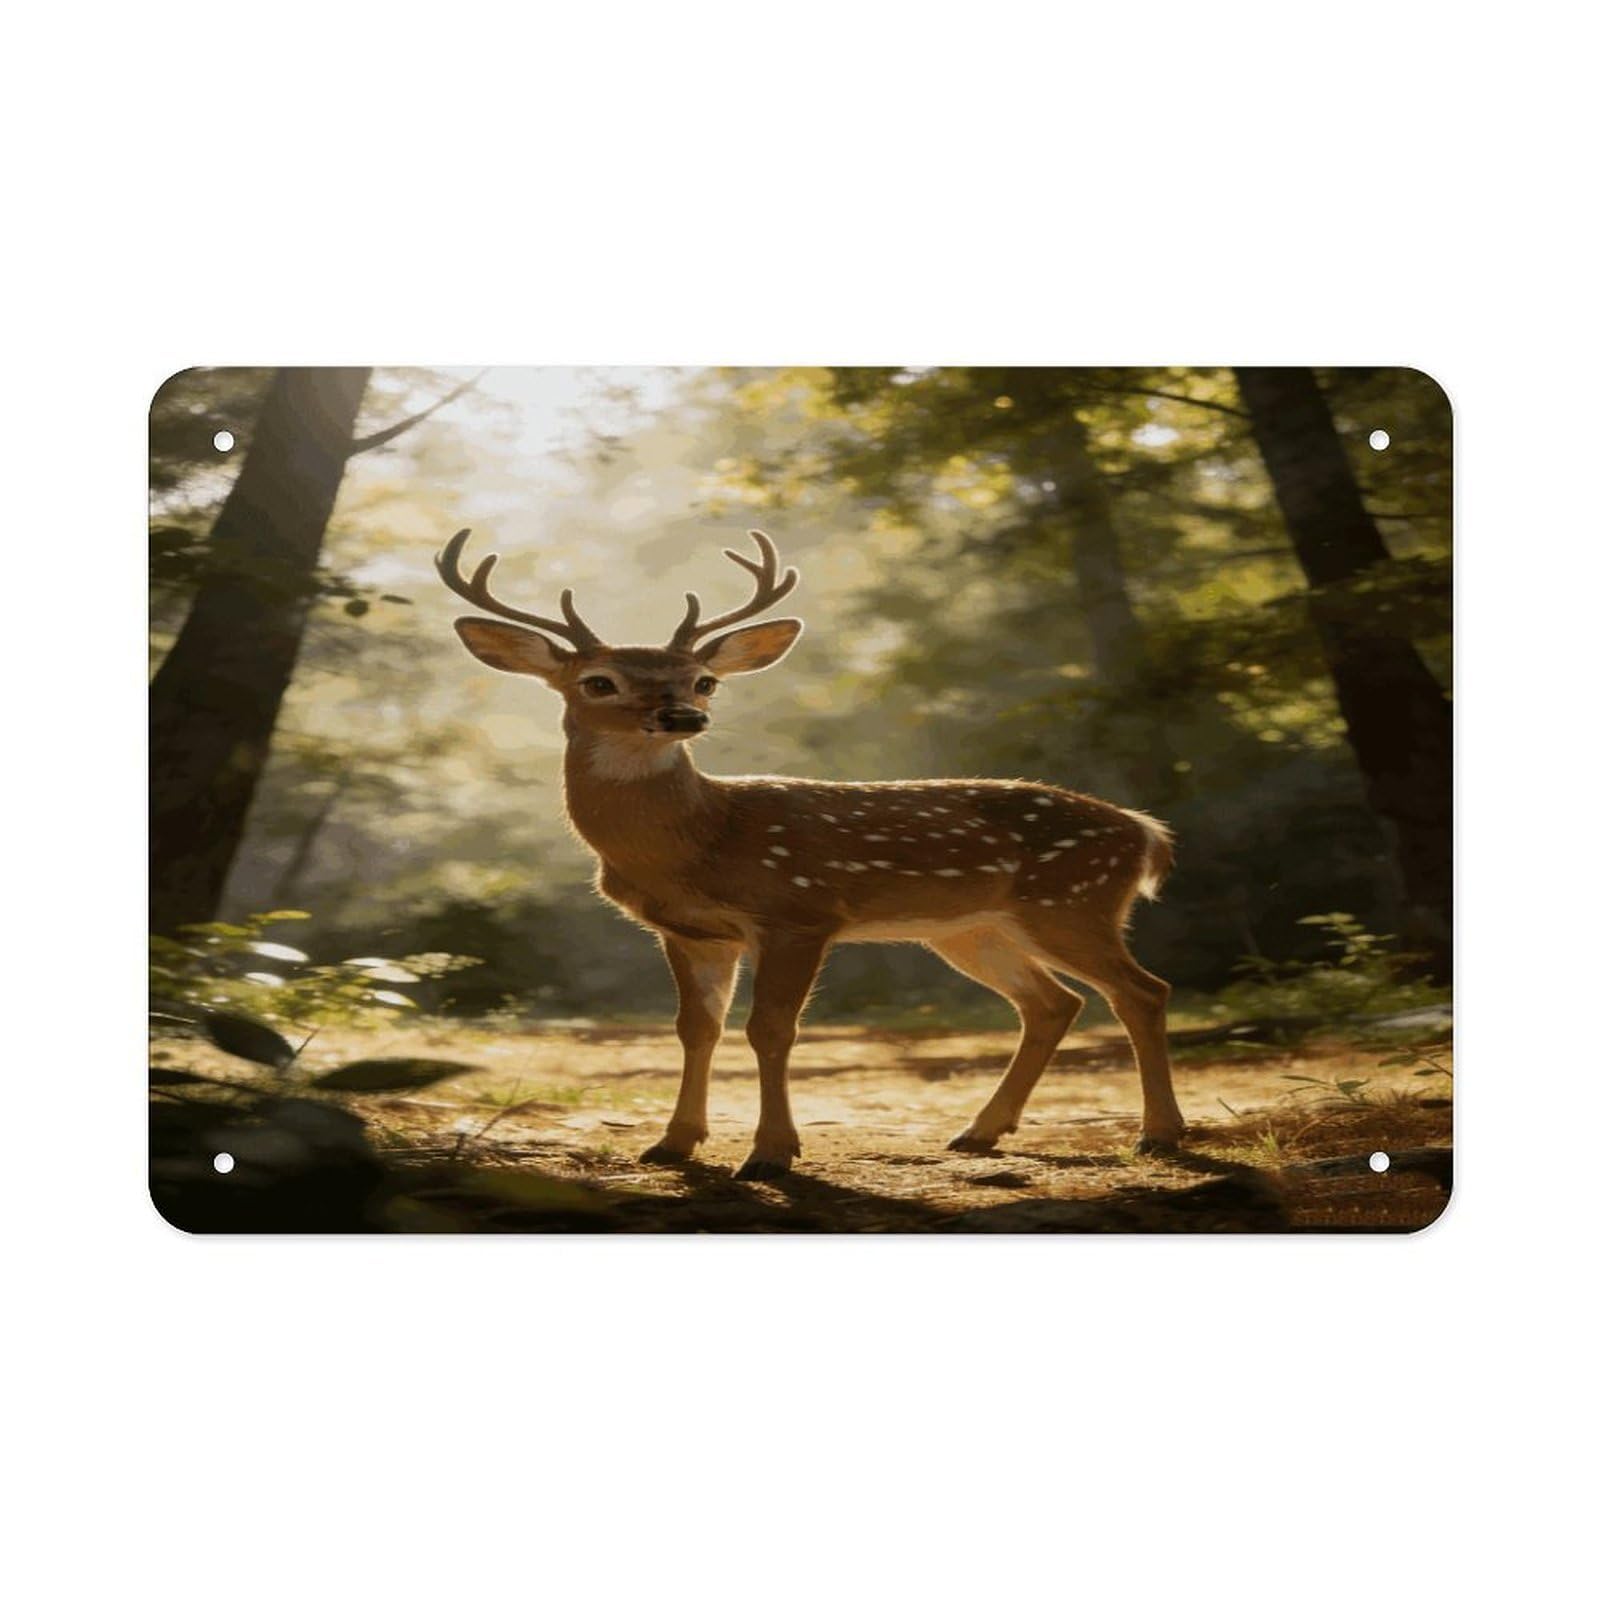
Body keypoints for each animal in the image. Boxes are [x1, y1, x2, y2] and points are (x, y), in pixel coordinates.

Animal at [438, 526, 1186, 1180]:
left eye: (704, 679)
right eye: (598, 681)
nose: (683, 716)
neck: (700, 839)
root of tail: (1145, 831)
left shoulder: (797, 911)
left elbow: (769, 1030)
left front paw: (770, 1154)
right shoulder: (691, 932)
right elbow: (695, 1029)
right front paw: (672, 1144)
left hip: (1072, 902)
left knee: (1142, 990)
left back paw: (1159, 1134)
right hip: (972, 929)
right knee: (1053, 1004)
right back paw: (979, 1132)